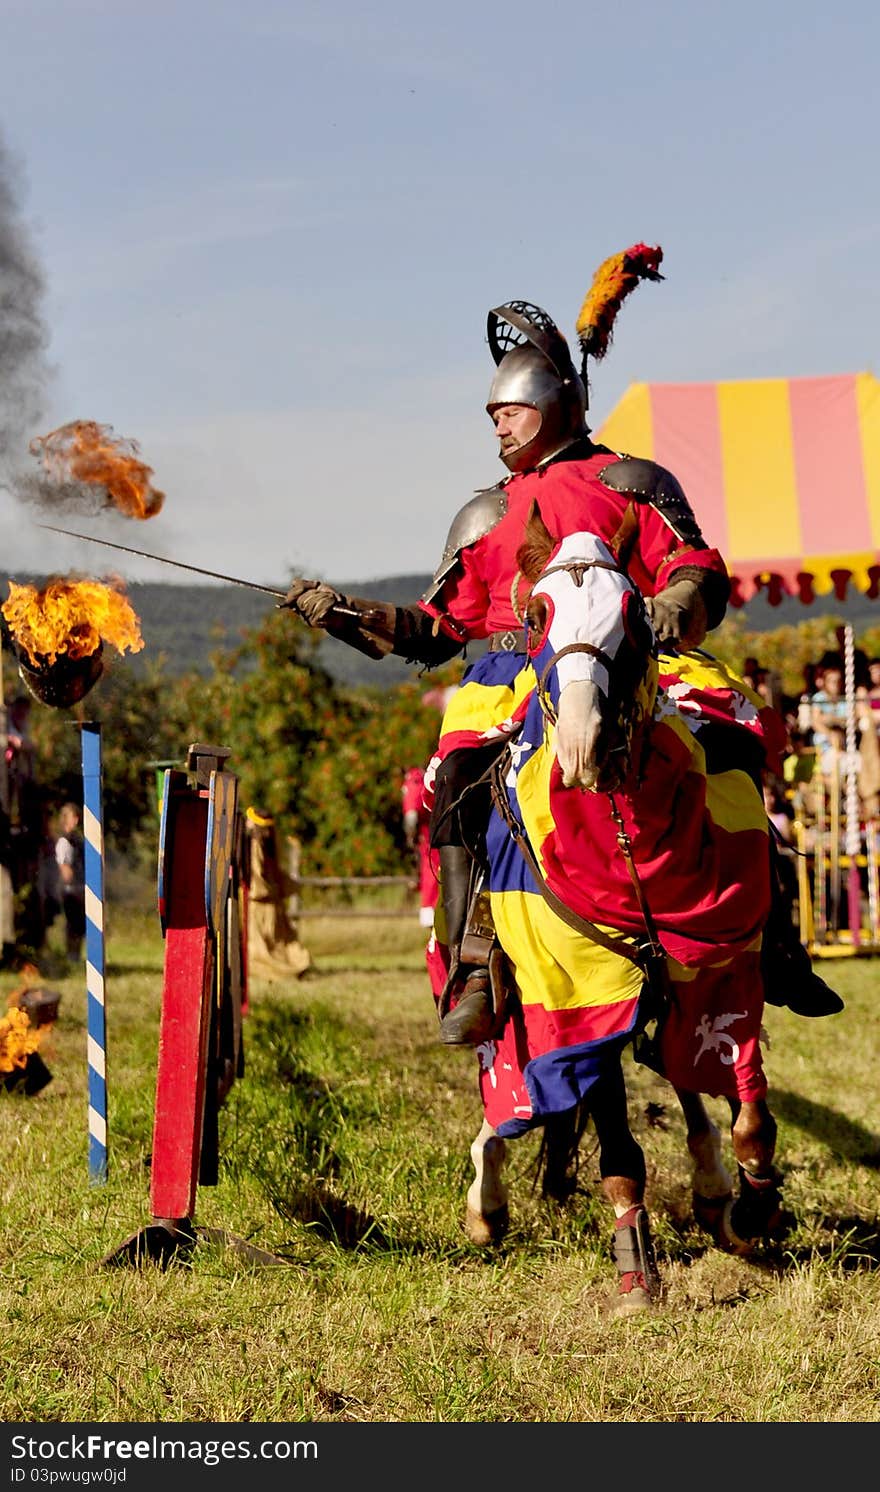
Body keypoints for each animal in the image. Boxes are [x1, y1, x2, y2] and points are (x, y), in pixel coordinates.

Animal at [438, 516, 787, 1318]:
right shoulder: (580, 999)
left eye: (632, 615)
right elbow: (617, 1141)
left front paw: (753, 1205)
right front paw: (637, 1269)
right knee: (512, 1086)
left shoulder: (721, 974)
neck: (626, 839)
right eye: (536, 618)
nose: (580, 749)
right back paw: (487, 1199)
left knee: (680, 1078)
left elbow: (748, 1109)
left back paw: (715, 1190)